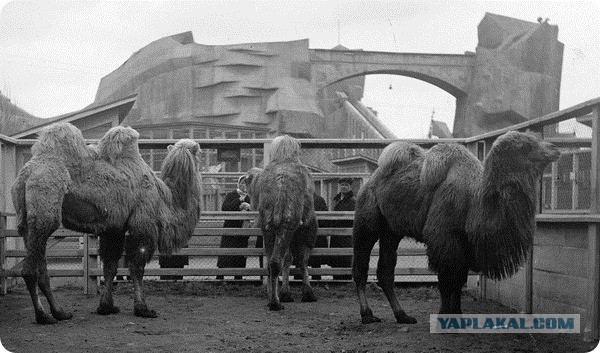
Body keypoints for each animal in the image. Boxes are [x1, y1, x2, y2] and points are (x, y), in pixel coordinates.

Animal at [11, 122, 203, 324]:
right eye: (199, 153)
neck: (165, 199)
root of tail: (26, 175)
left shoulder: (114, 228)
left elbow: (110, 266)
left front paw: (106, 307)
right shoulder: (143, 225)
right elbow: (137, 267)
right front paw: (143, 308)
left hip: (25, 221)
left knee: (42, 268)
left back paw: (60, 312)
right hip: (44, 210)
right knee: (30, 270)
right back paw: (43, 316)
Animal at [245, 136, 318, 310]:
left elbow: (289, 258)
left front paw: (286, 293)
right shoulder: (305, 226)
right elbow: (302, 260)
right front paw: (307, 293)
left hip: (268, 227)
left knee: (271, 262)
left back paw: (272, 298)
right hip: (286, 225)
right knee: (277, 261)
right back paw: (275, 303)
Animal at [354, 131, 560, 324]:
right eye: (523, 145)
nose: (554, 149)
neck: (476, 201)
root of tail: (371, 179)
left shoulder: (465, 245)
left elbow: (459, 281)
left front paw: (458, 315)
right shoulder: (443, 239)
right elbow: (446, 281)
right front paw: (444, 315)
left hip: (391, 232)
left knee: (385, 272)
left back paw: (402, 315)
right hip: (366, 222)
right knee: (360, 267)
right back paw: (367, 315)